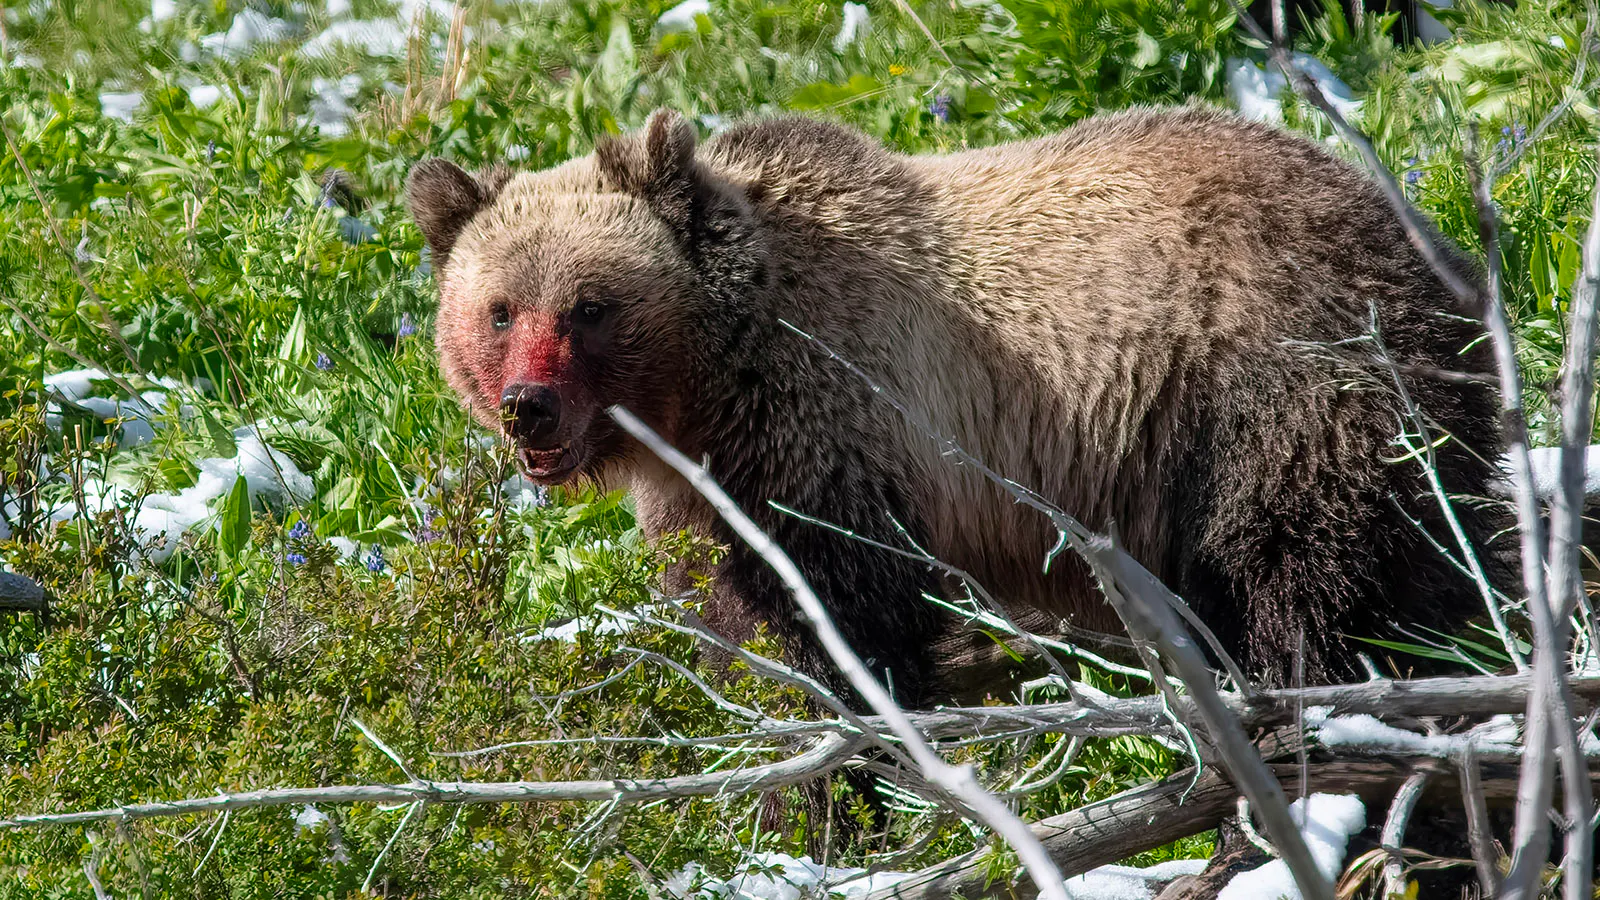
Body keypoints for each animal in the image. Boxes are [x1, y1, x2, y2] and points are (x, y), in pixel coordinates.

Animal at [407, 105, 1506, 707]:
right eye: (498, 309)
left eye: (588, 306)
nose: (528, 407)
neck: (707, 386)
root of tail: (1421, 247)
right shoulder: (710, 490)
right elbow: (746, 619)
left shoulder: (832, 420)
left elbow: (844, 620)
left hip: (1276, 386)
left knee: (1301, 577)